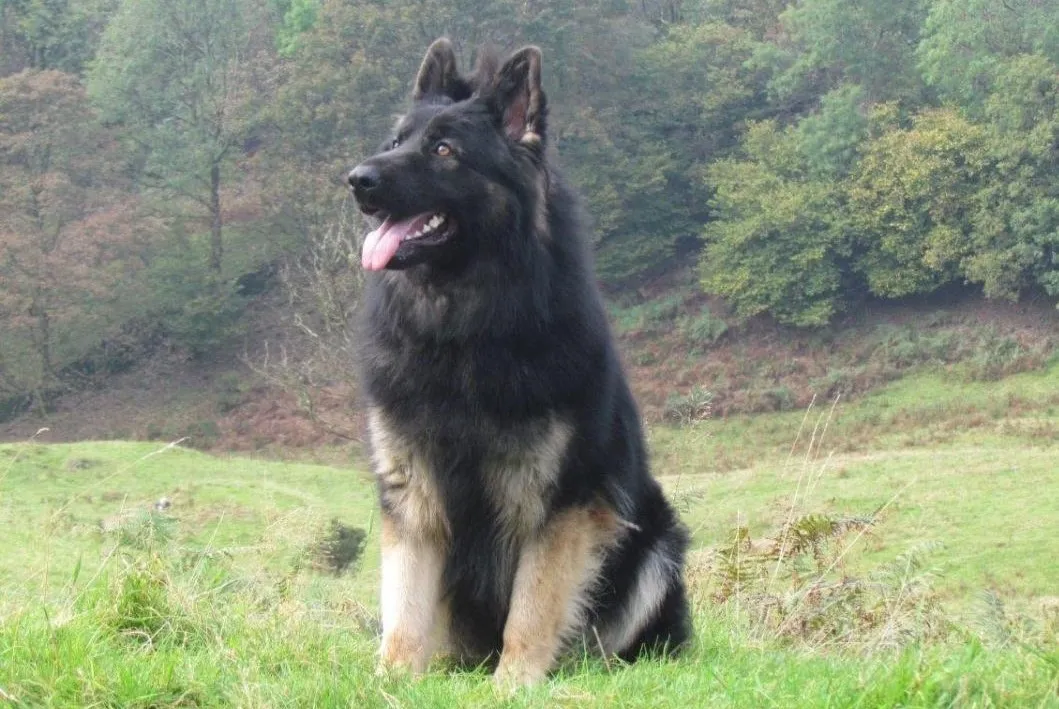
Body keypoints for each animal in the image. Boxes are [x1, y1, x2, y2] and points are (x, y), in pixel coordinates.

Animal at [347, 38, 690, 686]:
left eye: (444, 150)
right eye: (396, 141)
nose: (356, 179)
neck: (463, 331)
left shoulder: (561, 499)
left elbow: (532, 607)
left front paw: (515, 683)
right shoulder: (413, 493)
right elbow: (404, 605)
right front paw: (390, 679)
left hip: (656, 542)